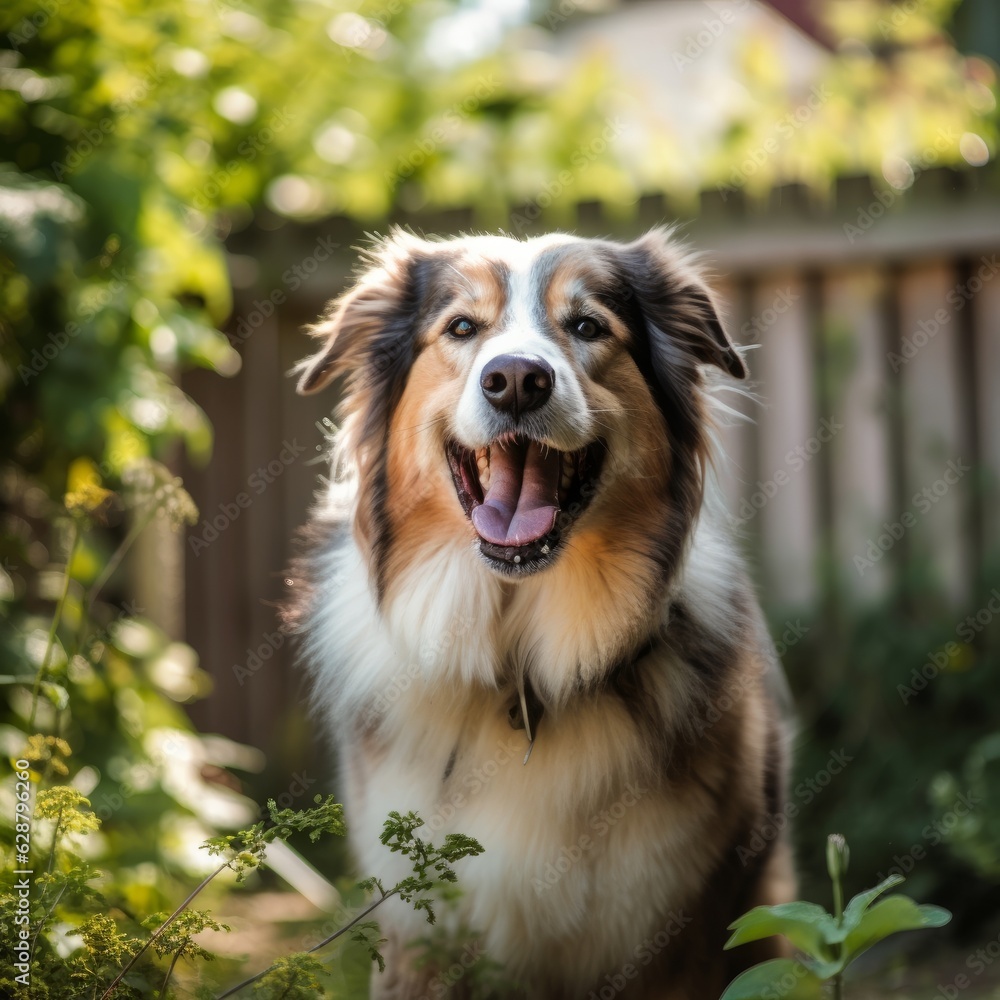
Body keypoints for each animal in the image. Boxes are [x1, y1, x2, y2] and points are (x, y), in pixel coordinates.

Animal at [286, 229, 792, 1000]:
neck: (522, 657)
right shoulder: (420, 937)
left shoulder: (680, 937)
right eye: (462, 328)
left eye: (587, 327)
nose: (518, 380)